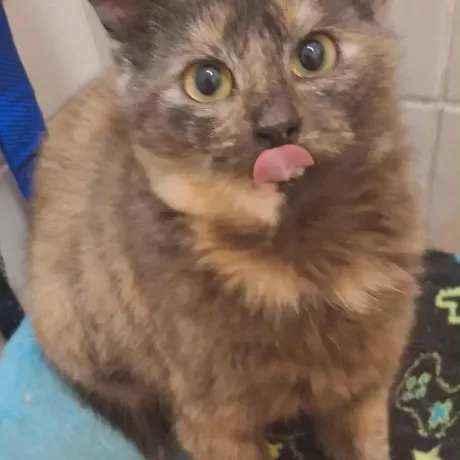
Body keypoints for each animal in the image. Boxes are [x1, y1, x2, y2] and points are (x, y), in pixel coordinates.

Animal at [29, 1, 424, 459]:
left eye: (312, 55)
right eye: (207, 81)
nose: (277, 126)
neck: (299, 261)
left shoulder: (363, 389)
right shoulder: (213, 423)